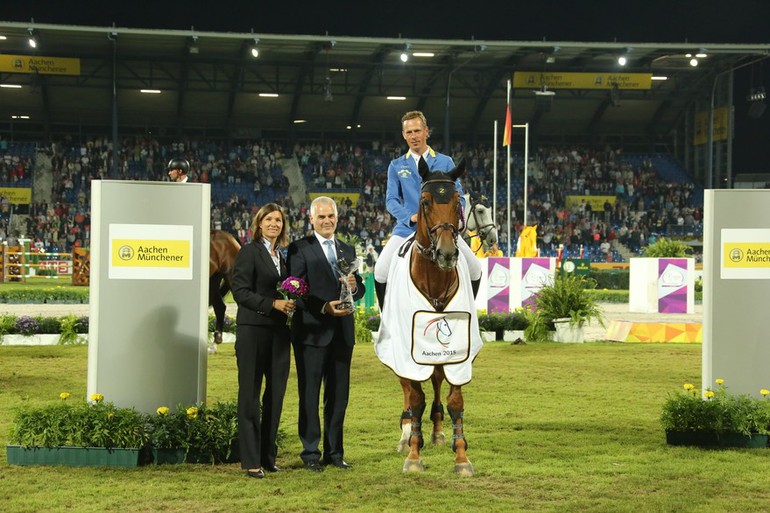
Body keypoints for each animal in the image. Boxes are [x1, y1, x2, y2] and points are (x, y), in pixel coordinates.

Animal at [374, 157, 480, 476]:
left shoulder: (459, 351)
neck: (434, 281)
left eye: (458, 201)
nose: (446, 254)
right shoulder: (406, 352)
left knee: (435, 379)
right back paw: (407, 432)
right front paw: (413, 454)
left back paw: (437, 430)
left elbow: (455, 400)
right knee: (408, 388)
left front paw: (461, 457)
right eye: (424, 202)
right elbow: (415, 397)